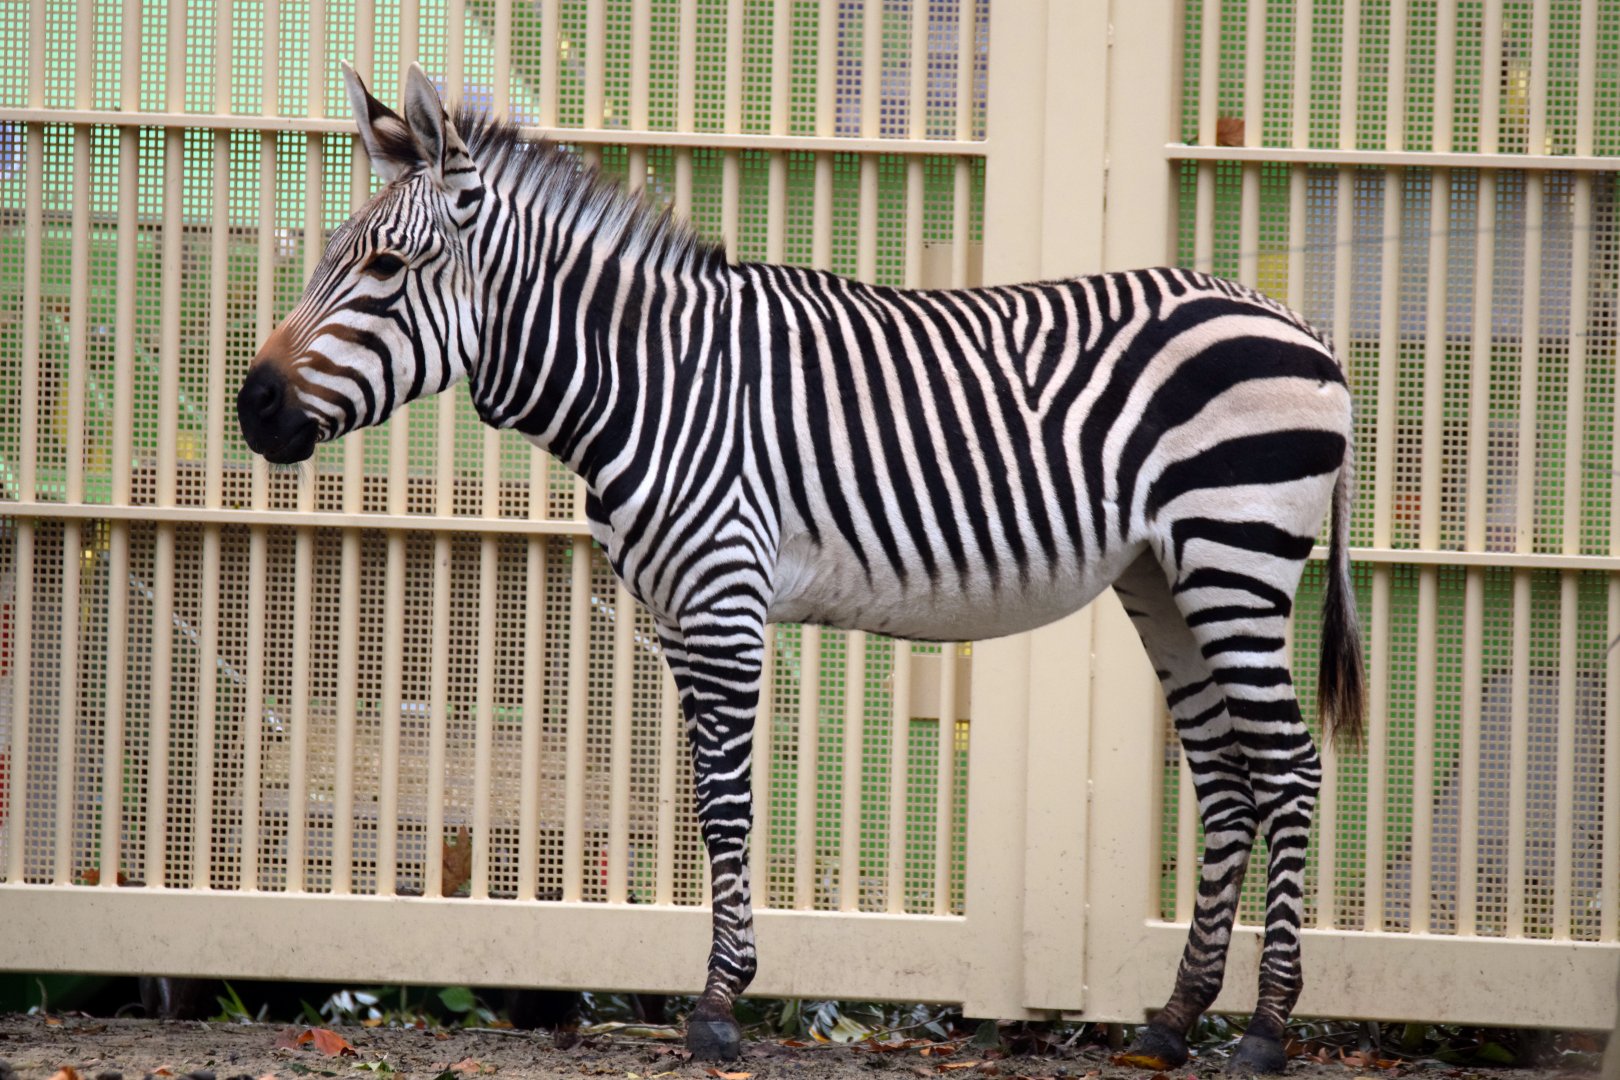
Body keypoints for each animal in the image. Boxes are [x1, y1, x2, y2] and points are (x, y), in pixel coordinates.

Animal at [237, 64, 1365, 1073]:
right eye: (331, 256)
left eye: (386, 268)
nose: (252, 407)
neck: (647, 380)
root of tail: (1303, 329)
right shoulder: (677, 616)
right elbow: (707, 799)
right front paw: (724, 986)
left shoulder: (725, 598)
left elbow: (729, 801)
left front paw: (716, 1009)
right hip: (1163, 579)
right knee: (1226, 779)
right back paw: (1171, 1023)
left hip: (1233, 557)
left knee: (1290, 768)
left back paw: (1265, 1031)